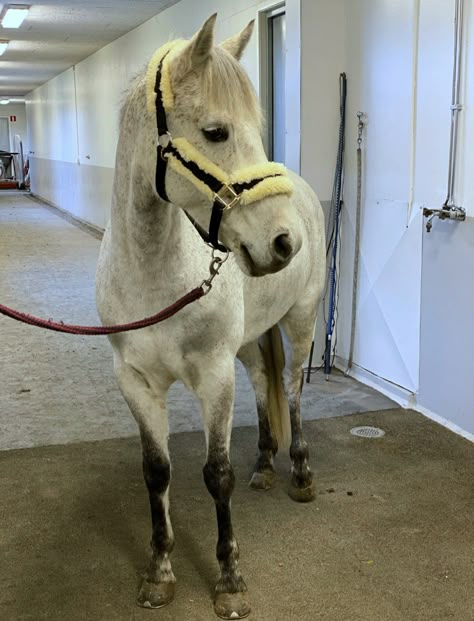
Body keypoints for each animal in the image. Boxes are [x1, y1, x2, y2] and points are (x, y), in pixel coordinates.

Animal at [96, 14, 326, 620]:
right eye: (217, 132)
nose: (283, 243)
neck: (155, 272)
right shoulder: (136, 382)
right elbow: (157, 472)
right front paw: (158, 571)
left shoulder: (213, 376)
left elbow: (215, 474)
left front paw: (229, 579)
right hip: (248, 342)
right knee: (264, 381)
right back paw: (265, 466)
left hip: (300, 322)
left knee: (292, 388)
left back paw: (299, 471)